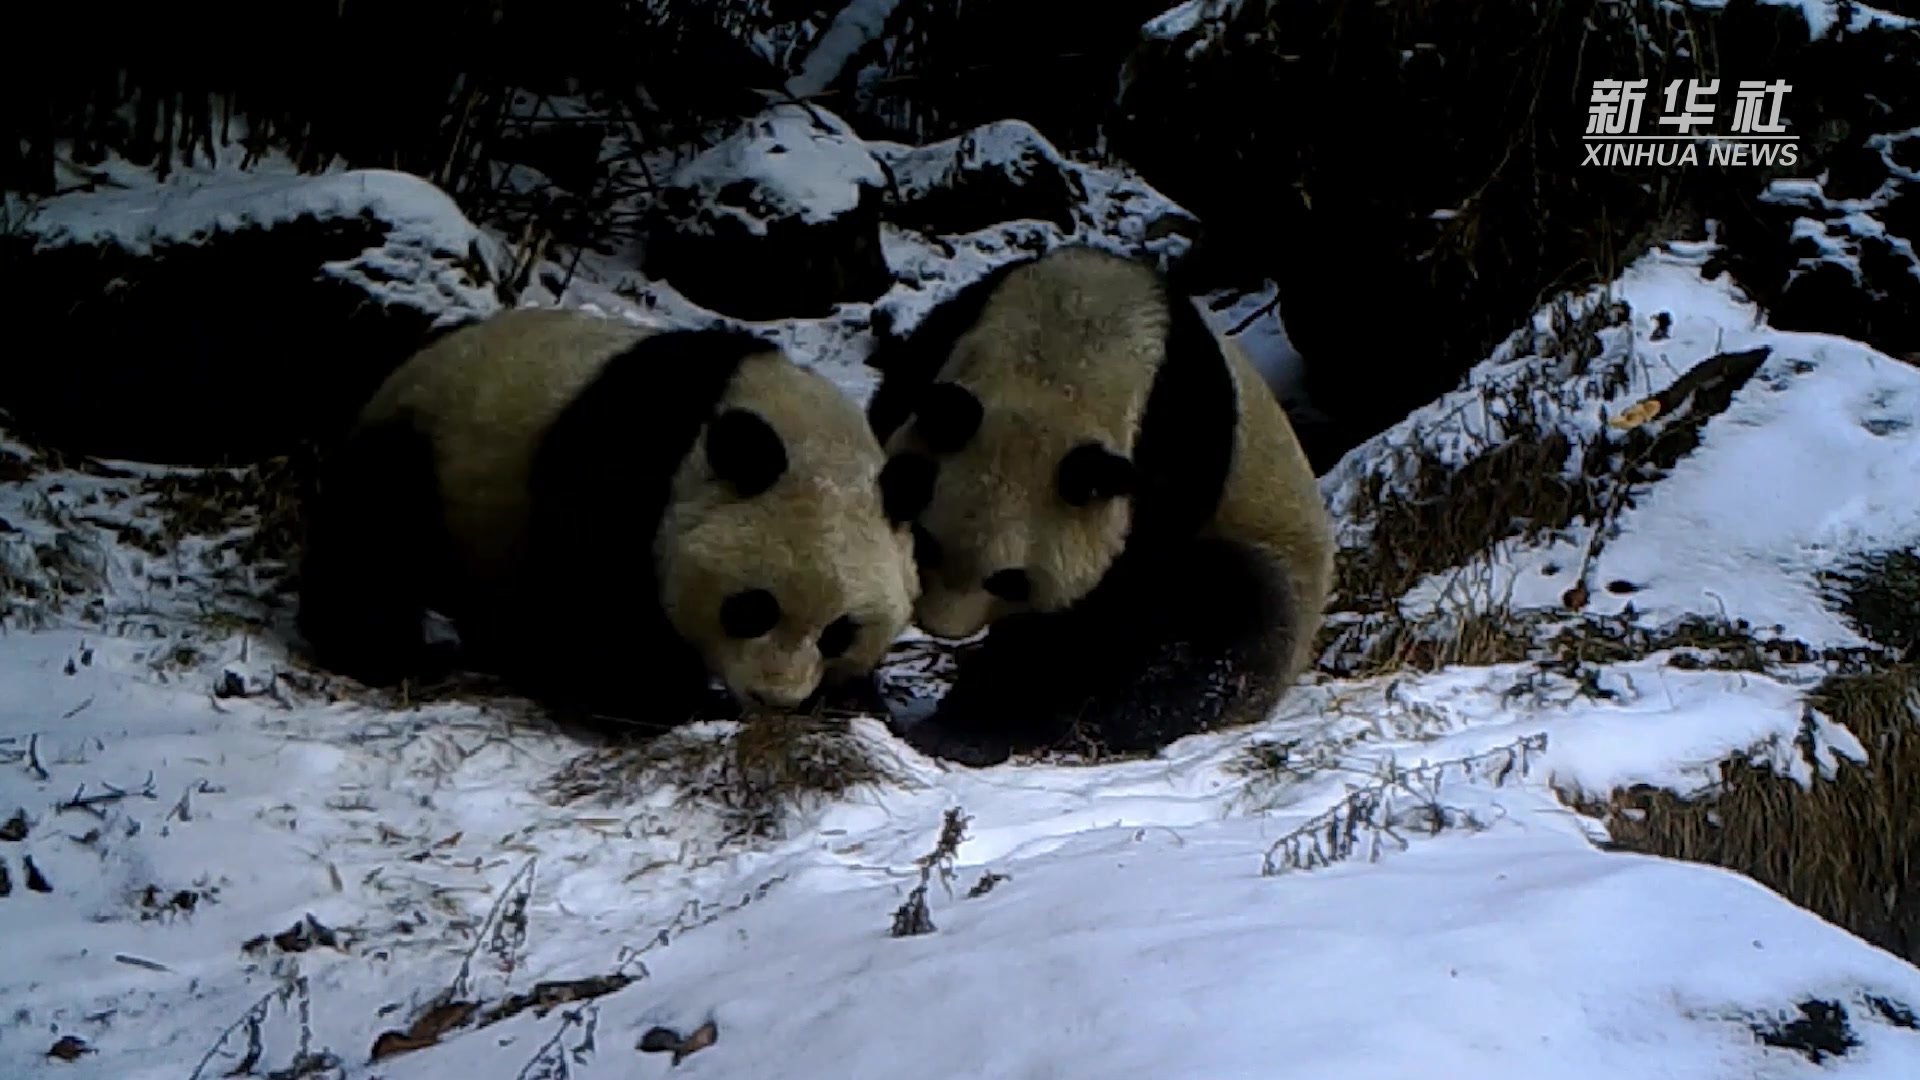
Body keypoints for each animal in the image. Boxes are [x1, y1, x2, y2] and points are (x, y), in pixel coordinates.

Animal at [299, 303, 921, 722]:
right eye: (752, 608)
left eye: (839, 632)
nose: (774, 698)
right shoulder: (628, 463)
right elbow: (600, 614)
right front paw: (672, 700)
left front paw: (854, 703)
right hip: (423, 448)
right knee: (371, 543)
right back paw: (388, 653)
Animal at [871, 244, 1336, 764]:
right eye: (927, 542)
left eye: (1010, 580)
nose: (943, 628)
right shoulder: (953, 329)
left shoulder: (1178, 454)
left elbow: (1111, 612)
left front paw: (985, 716)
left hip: (1274, 560)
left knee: (1218, 626)